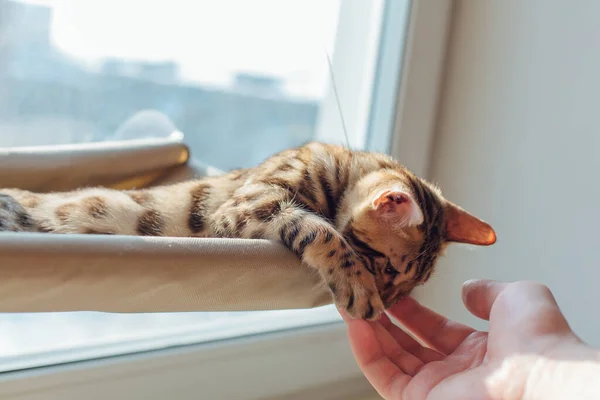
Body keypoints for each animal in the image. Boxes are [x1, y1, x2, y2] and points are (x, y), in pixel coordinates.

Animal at [1, 142, 496, 320]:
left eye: (408, 288)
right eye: (385, 270)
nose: (389, 305)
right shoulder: (247, 205)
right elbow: (321, 232)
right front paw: (354, 283)